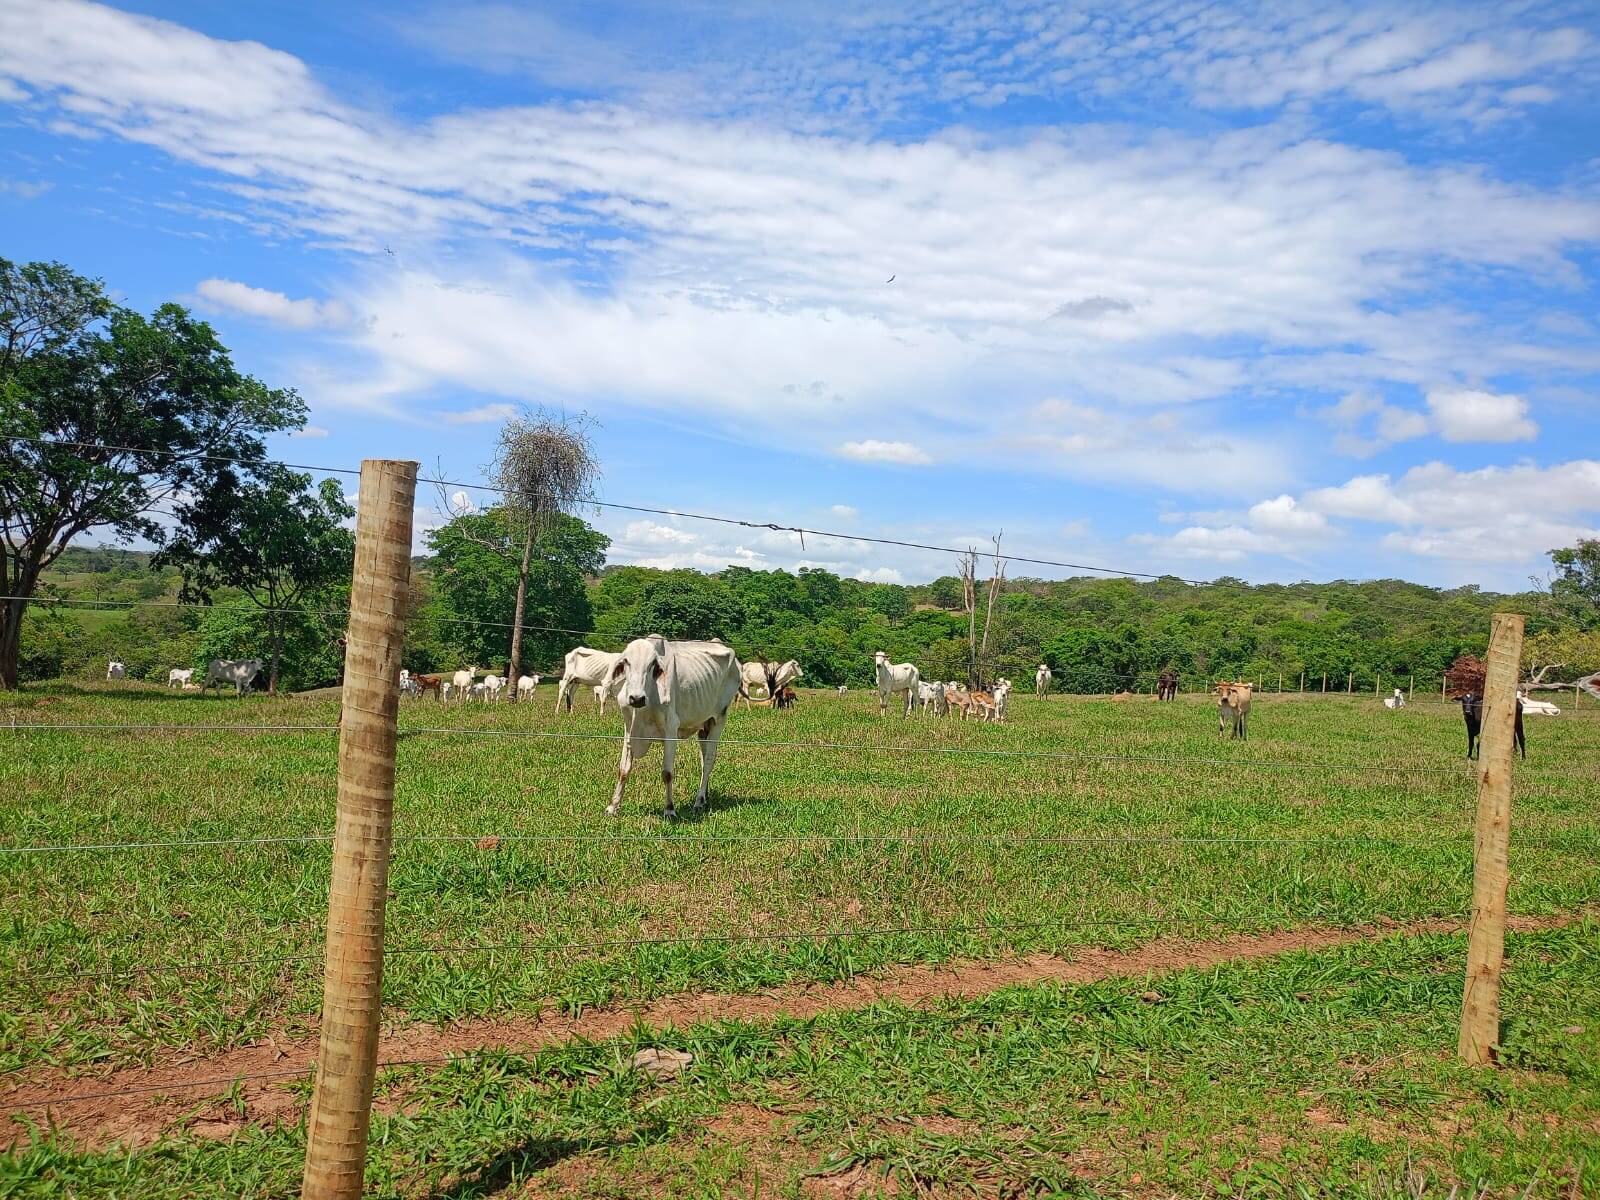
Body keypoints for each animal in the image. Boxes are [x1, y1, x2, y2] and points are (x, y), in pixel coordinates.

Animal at [604, 633, 742, 825]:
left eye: (652, 665)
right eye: (626, 662)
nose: (636, 698)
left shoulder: (671, 729)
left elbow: (667, 773)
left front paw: (669, 809)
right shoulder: (629, 730)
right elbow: (623, 770)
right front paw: (613, 806)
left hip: (719, 719)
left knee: (708, 762)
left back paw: (699, 801)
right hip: (704, 726)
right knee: (704, 759)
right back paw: (705, 797)